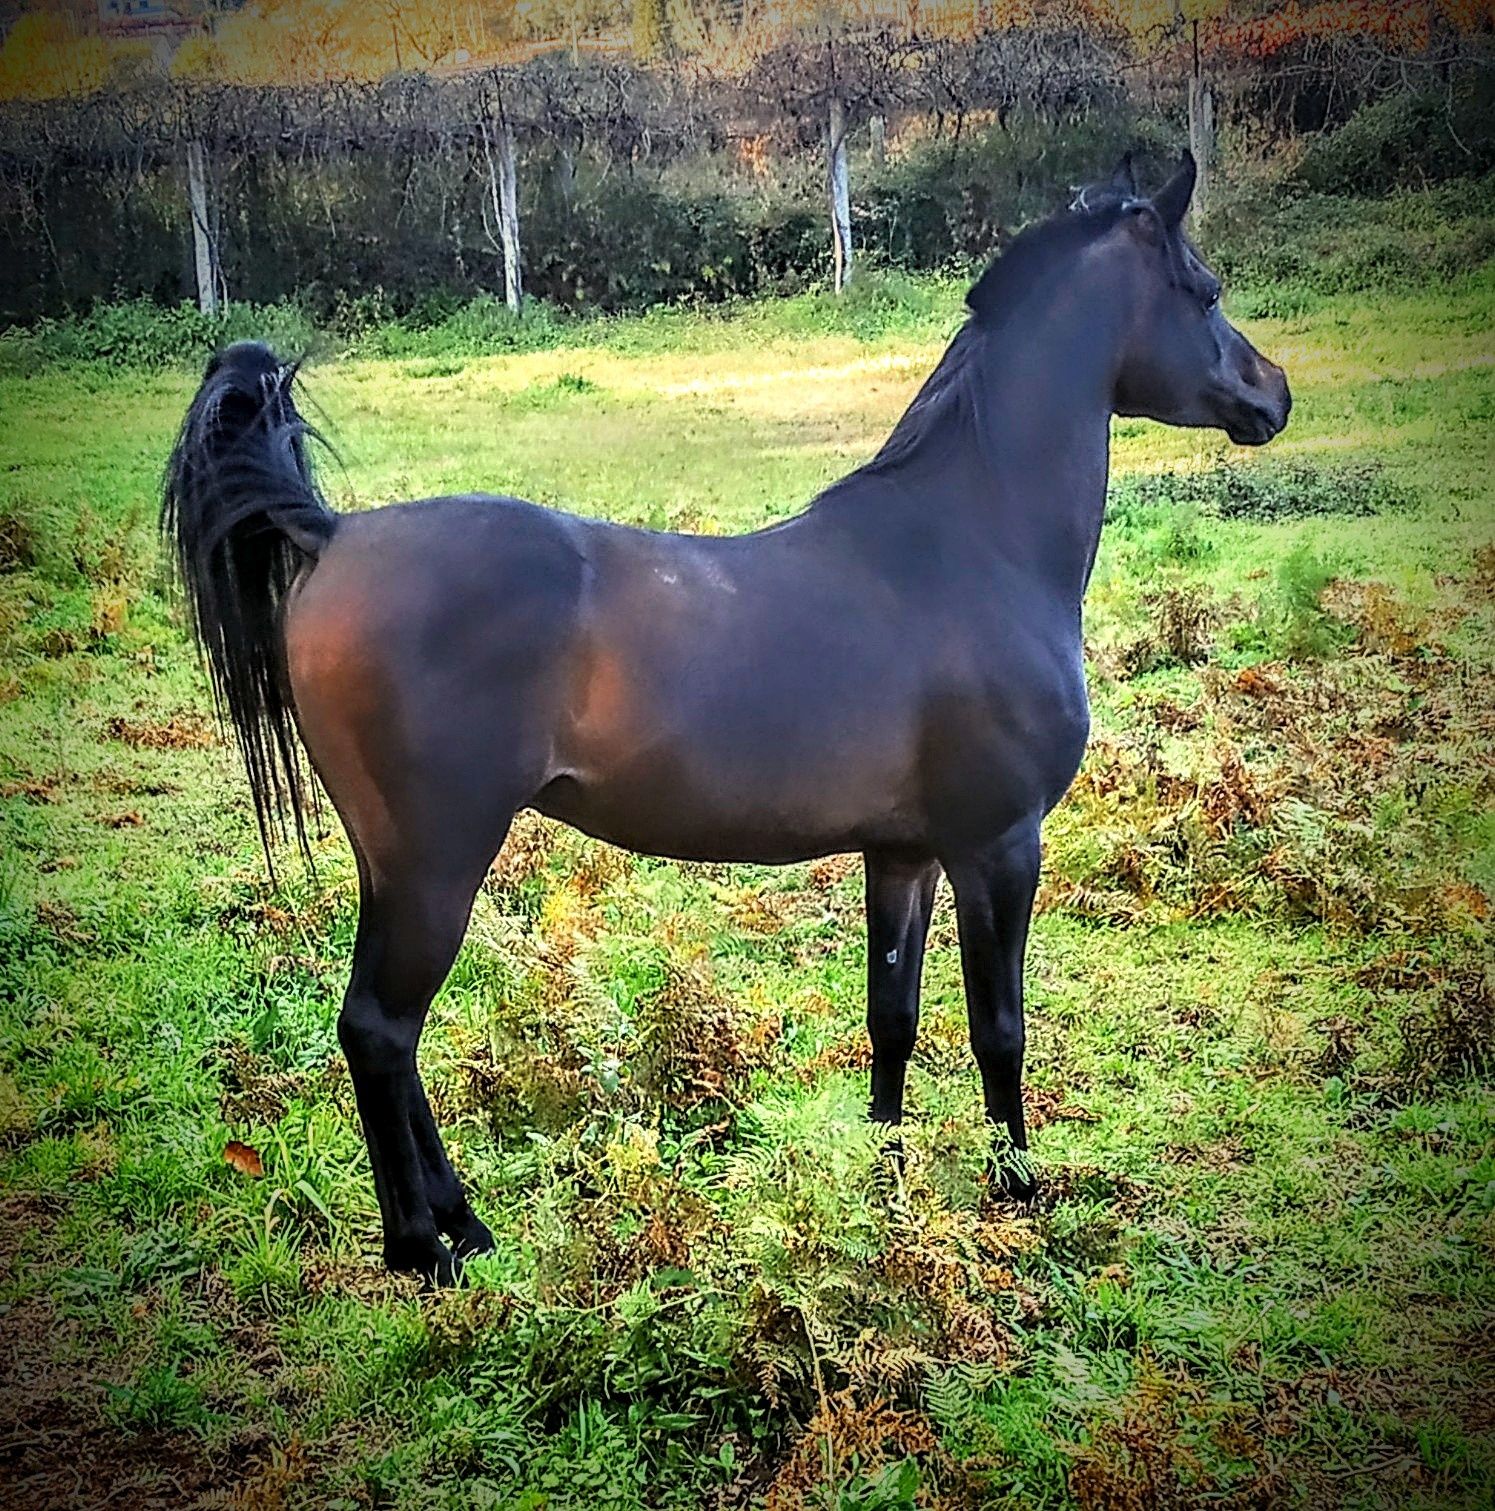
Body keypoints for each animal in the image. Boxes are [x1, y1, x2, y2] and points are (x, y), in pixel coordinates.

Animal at [163, 156, 1281, 1287]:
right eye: (1206, 290)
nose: (1271, 393)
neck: (969, 544)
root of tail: (332, 533)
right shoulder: (999, 847)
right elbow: (997, 1027)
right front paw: (1017, 1195)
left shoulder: (905, 853)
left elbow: (892, 1018)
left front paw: (883, 1189)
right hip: (434, 863)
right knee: (380, 1029)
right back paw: (423, 1250)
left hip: (393, 866)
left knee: (386, 1033)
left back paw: (466, 1228)